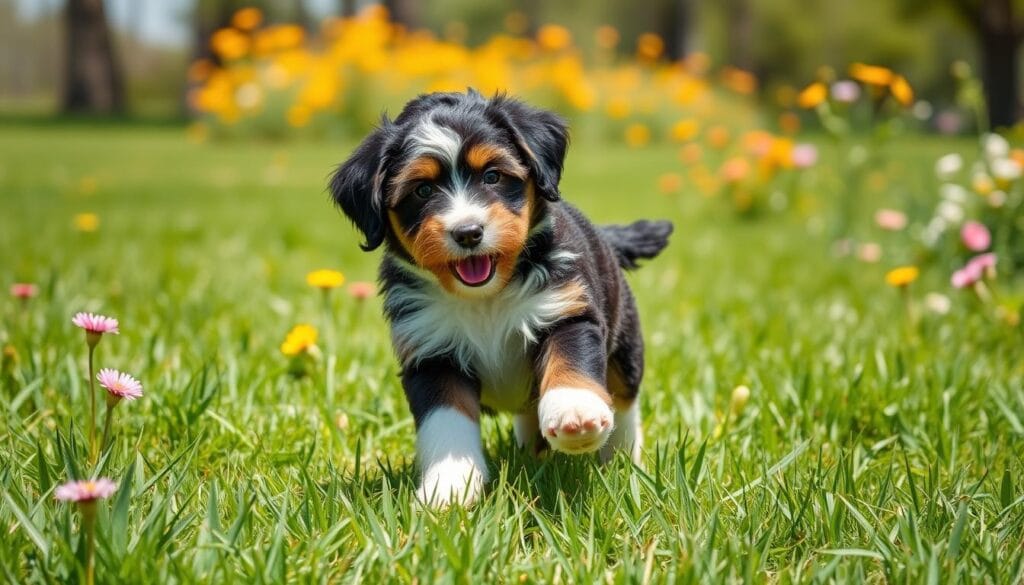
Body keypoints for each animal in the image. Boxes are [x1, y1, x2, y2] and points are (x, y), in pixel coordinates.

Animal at [327, 89, 671, 506]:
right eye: (423, 190)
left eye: (492, 176)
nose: (468, 232)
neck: (485, 300)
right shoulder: (430, 353)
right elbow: (445, 424)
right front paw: (448, 487)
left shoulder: (567, 311)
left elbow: (570, 363)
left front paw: (574, 413)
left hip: (625, 343)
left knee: (624, 401)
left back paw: (621, 459)